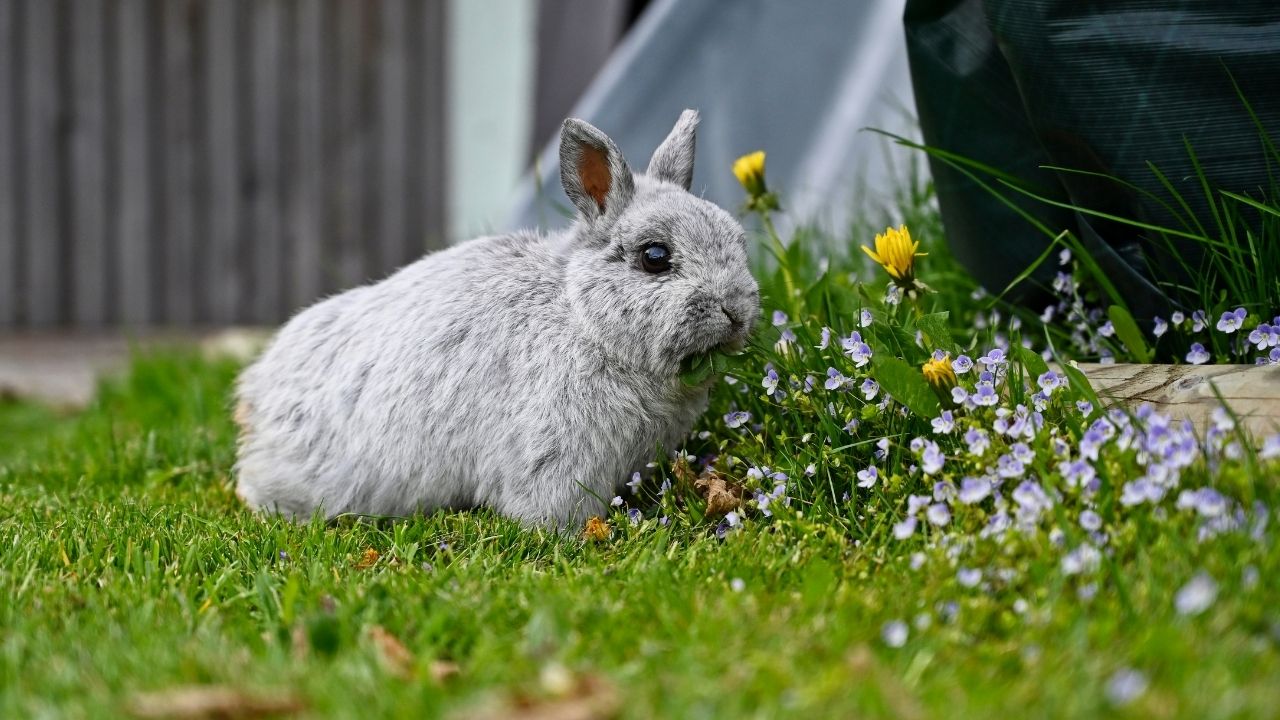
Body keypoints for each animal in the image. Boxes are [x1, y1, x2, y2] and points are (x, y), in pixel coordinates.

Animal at [232, 110, 757, 527]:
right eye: (654, 257)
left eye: (737, 239)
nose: (737, 311)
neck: (581, 318)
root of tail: (255, 397)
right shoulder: (555, 452)